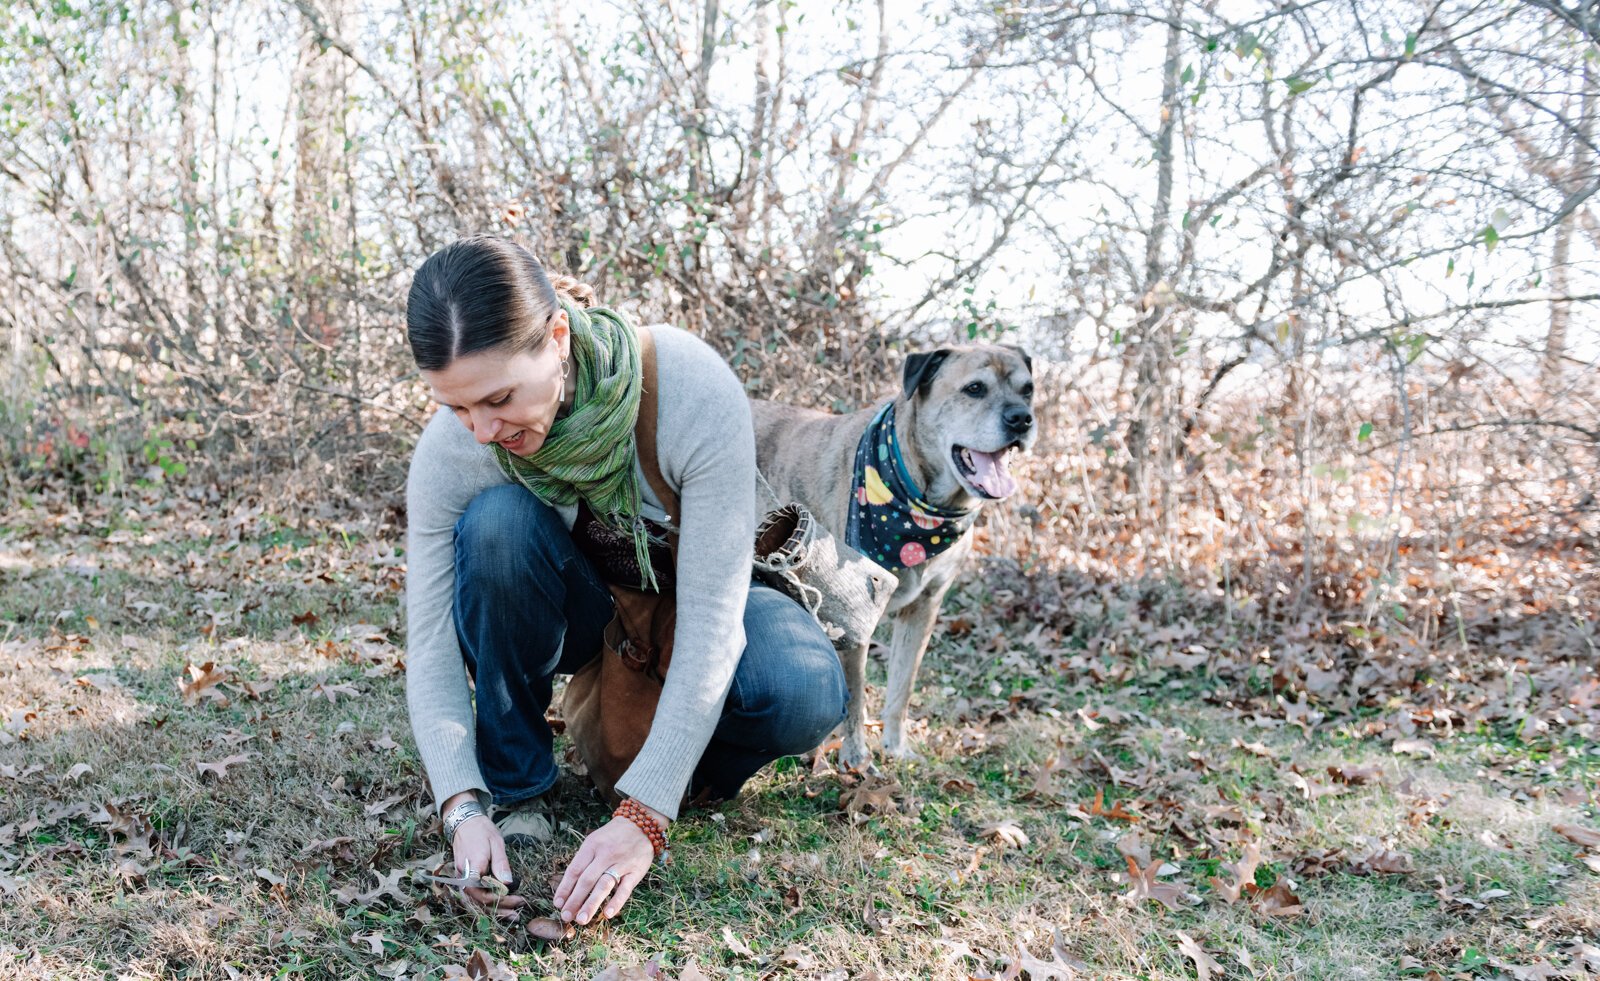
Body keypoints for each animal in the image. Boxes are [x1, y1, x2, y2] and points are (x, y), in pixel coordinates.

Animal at [752, 344, 1036, 764]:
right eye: (974, 389)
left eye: (1028, 390)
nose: (1022, 419)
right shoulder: (853, 616)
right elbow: (855, 699)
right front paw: (855, 759)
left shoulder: (925, 606)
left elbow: (902, 685)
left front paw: (896, 747)